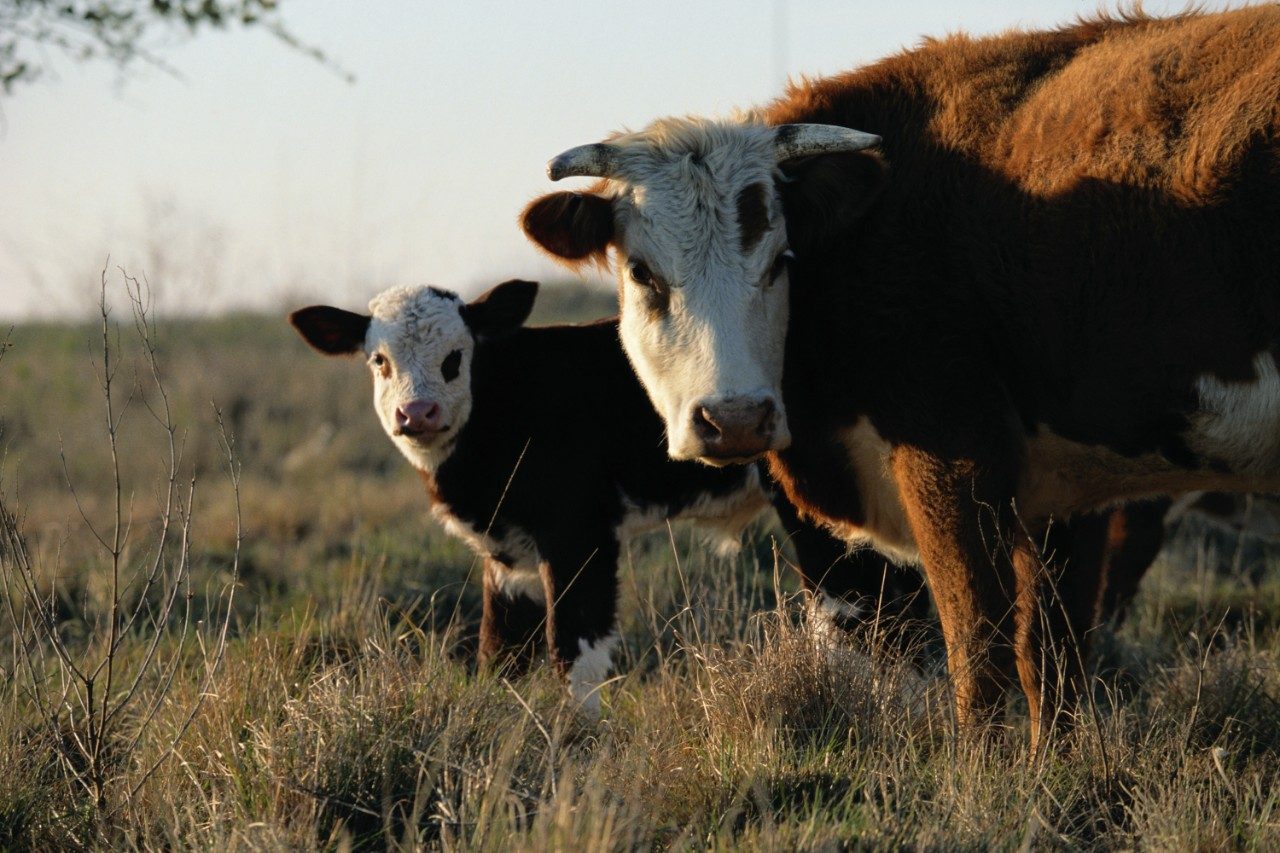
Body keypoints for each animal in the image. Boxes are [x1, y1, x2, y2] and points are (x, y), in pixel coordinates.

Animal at [291, 279, 931, 712]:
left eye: (455, 357)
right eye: (379, 360)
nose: (416, 412)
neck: (505, 401)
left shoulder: (578, 534)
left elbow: (574, 645)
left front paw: (578, 738)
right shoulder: (508, 553)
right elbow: (500, 651)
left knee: (857, 610)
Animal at [517, 8, 1280, 753]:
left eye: (780, 260)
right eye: (642, 272)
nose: (734, 420)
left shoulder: (951, 455)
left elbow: (981, 643)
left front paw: (980, 779)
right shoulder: (1069, 483)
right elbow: (1054, 655)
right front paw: (1050, 771)